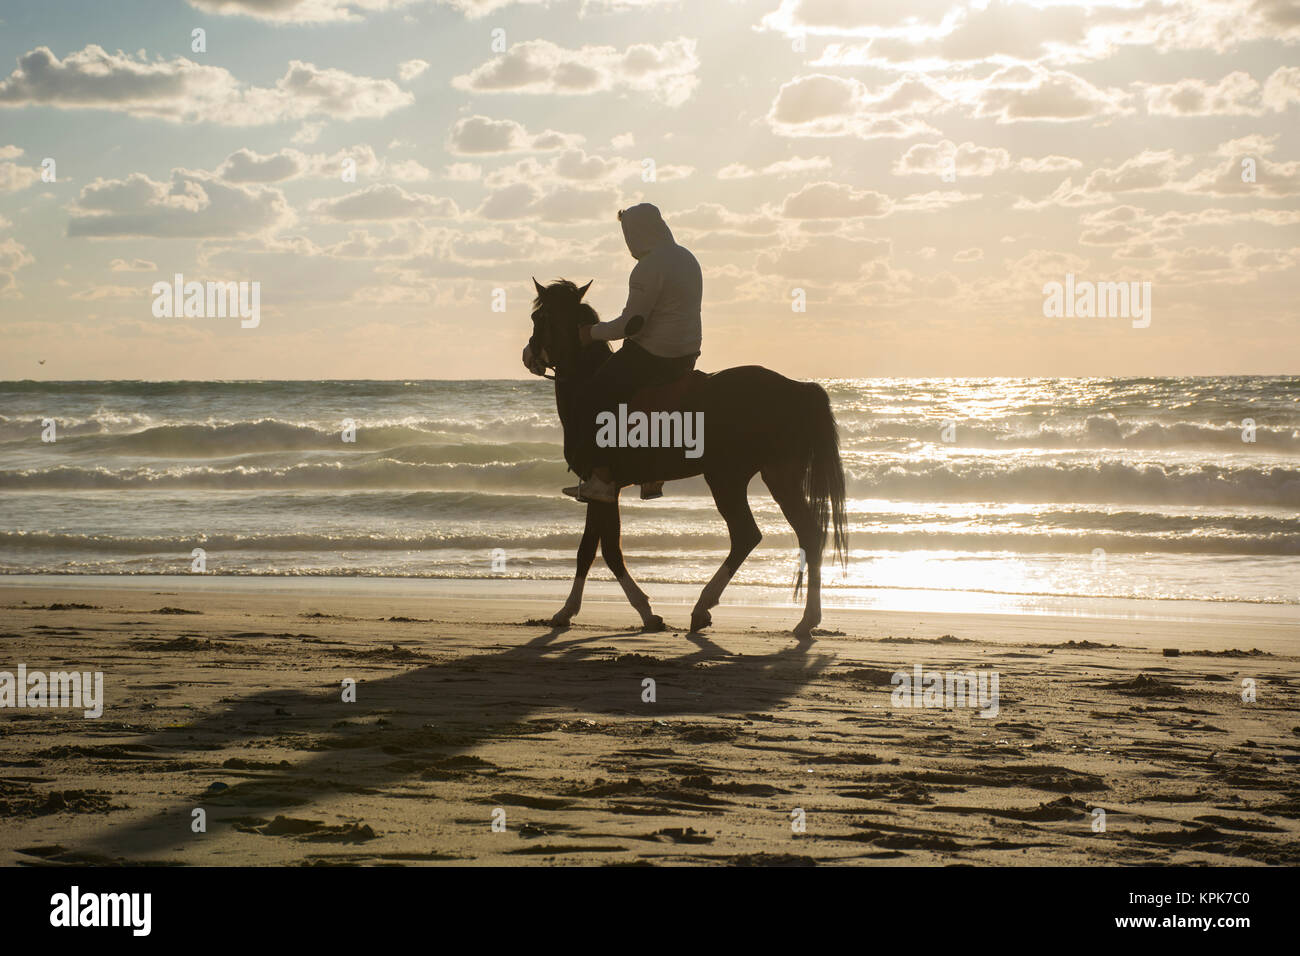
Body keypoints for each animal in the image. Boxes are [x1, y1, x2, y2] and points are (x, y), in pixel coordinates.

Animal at [527, 278, 848, 642]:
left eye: (538, 318)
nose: (529, 354)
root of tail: (796, 388)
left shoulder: (601, 486)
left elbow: (604, 550)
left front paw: (636, 612)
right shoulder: (605, 489)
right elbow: (592, 549)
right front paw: (581, 611)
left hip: (727, 477)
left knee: (747, 535)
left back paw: (704, 607)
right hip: (778, 476)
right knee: (808, 534)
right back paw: (807, 619)